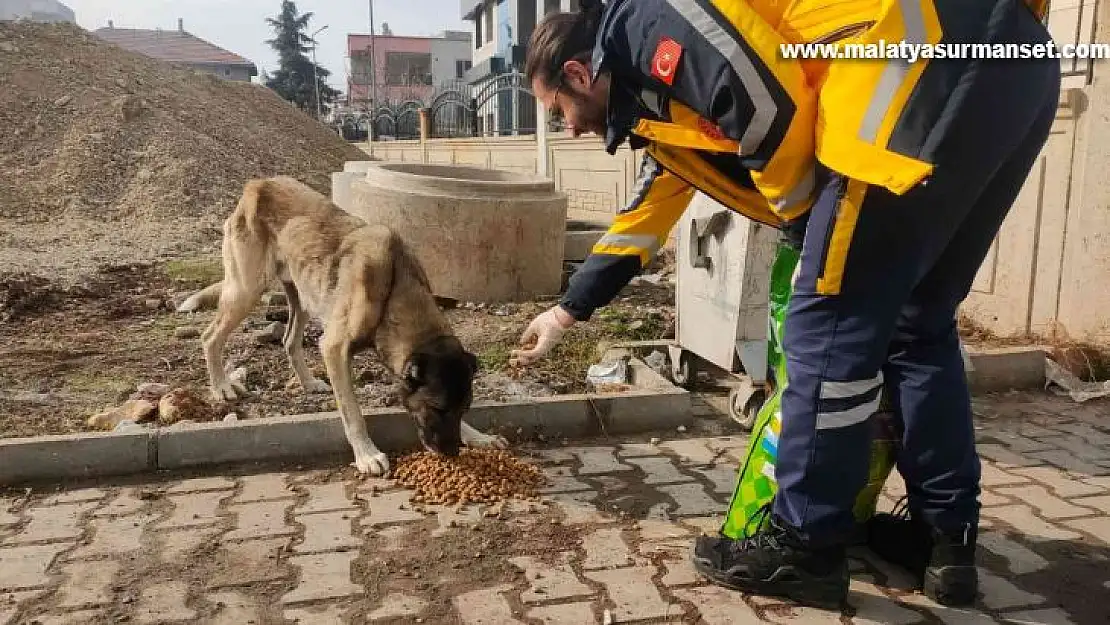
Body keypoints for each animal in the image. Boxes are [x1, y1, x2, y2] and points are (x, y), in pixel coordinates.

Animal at [179, 175, 508, 475]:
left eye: (464, 408)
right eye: (437, 408)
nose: (452, 453)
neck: (394, 289)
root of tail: (258, 185)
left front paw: (478, 436)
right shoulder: (334, 349)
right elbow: (352, 412)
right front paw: (366, 454)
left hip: (303, 296)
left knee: (289, 340)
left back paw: (309, 383)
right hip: (246, 291)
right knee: (210, 337)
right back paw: (221, 387)